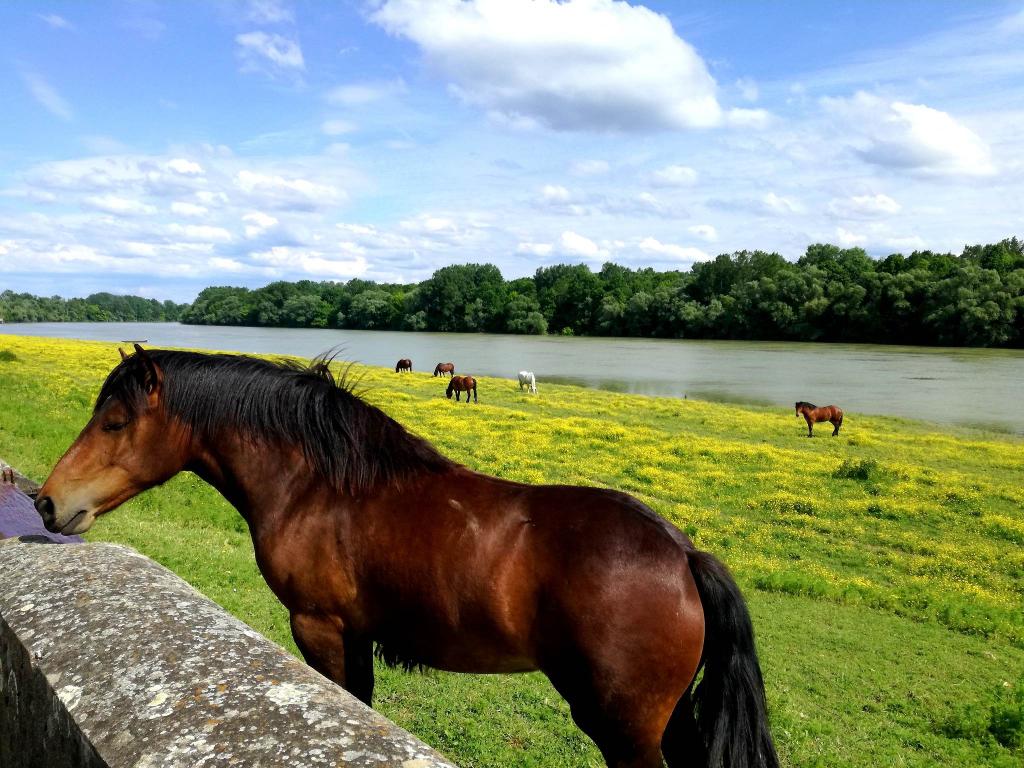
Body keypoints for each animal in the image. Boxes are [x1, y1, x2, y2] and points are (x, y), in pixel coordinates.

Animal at [35, 347, 778, 768]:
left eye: (115, 421)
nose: (47, 503)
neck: (321, 486)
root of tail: (683, 554)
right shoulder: (354, 633)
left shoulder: (320, 626)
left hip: (624, 730)